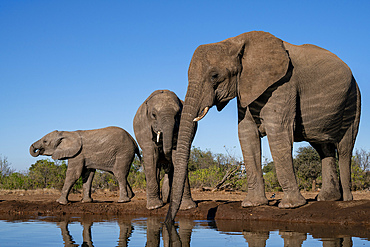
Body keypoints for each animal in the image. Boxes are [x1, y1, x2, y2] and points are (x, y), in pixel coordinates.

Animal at [165, 31, 362, 223]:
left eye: (214, 76)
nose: (170, 222)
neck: (235, 41)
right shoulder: (245, 86)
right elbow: (246, 134)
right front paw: (253, 204)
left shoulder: (284, 83)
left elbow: (277, 132)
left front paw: (290, 206)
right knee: (323, 147)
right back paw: (327, 199)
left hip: (354, 99)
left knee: (345, 148)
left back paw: (346, 200)